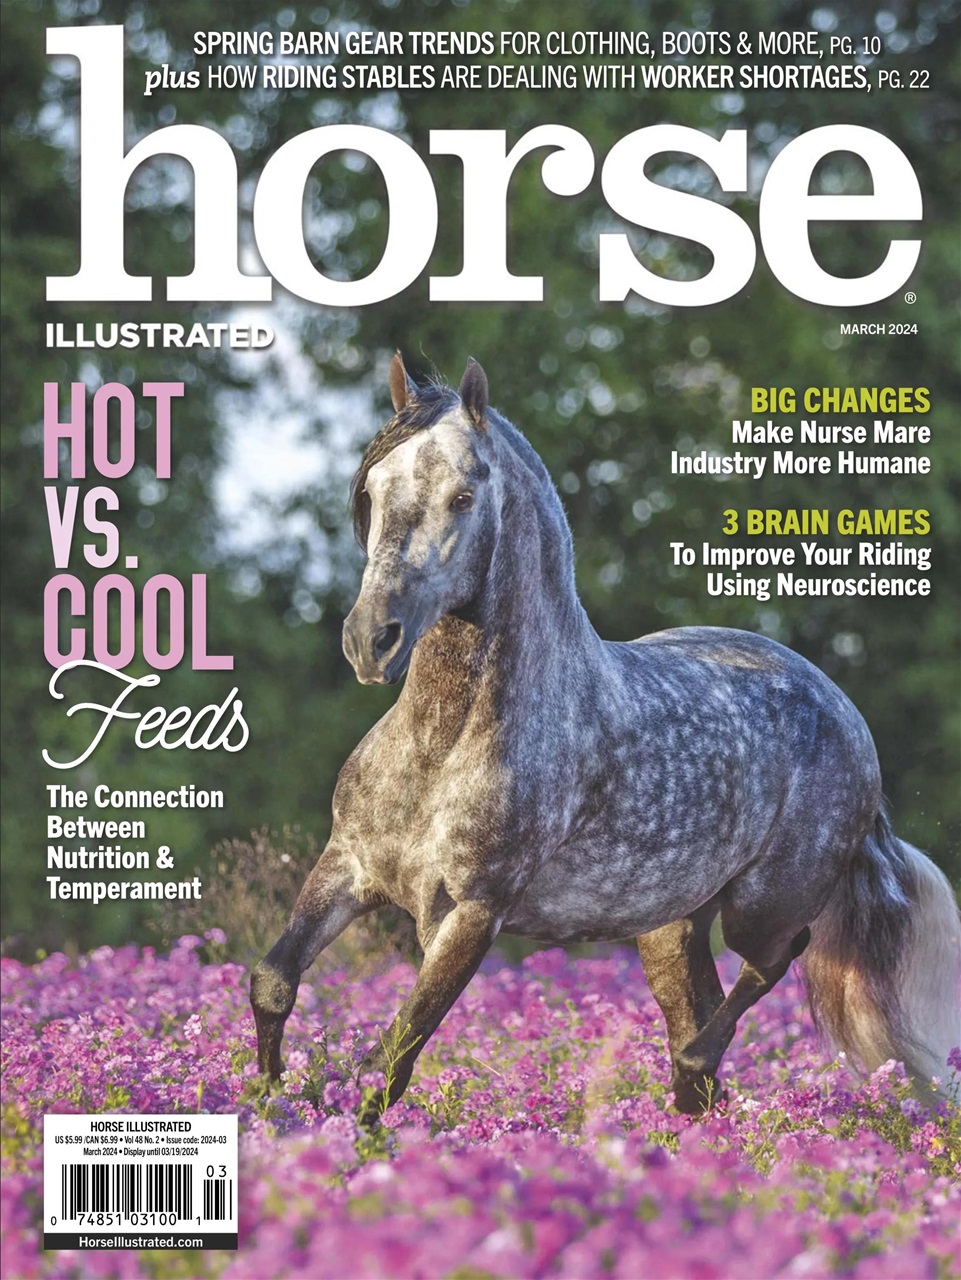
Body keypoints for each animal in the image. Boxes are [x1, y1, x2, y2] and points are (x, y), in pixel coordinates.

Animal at [251, 354, 960, 1121]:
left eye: (464, 496)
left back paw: (693, 1067)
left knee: (771, 961)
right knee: (699, 1015)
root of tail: (842, 710)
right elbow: (274, 982)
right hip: (668, 925)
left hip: (763, 904)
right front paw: (266, 1103)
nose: (369, 640)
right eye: (374, 489)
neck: (439, 747)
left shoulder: (471, 913)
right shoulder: (347, 866)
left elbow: (393, 1054)